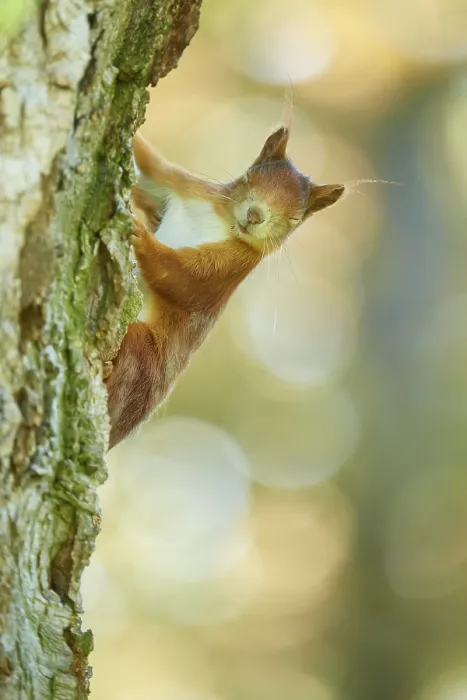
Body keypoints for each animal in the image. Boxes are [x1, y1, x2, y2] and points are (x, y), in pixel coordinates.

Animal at [104, 122, 345, 450]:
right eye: (248, 179)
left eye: (295, 219)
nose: (254, 216)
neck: (222, 218)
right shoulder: (177, 185)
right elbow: (149, 168)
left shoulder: (228, 269)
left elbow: (181, 278)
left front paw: (141, 235)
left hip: (143, 358)